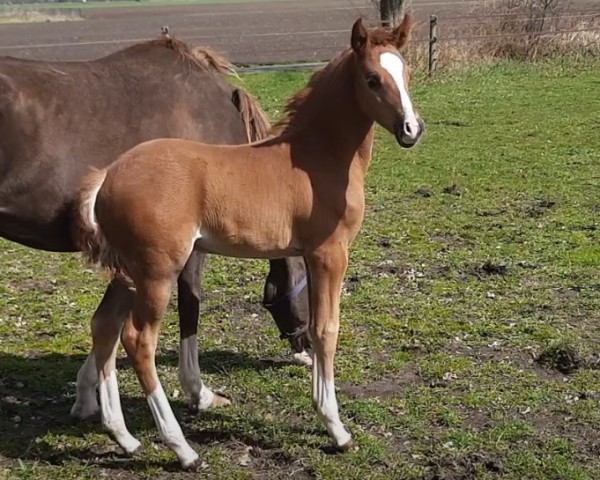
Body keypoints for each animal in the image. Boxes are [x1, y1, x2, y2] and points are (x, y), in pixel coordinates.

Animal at [0, 33, 310, 418]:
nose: (306, 348)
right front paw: (199, 392)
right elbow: (189, 309)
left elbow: (109, 323)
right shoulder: (184, 248)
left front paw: (86, 393)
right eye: (305, 276)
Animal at [75, 15, 422, 468]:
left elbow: (316, 328)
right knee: (138, 341)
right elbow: (327, 330)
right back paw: (182, 449)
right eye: (372, 79)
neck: (316, 156)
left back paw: (125, 438)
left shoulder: (311, 256)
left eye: (406, 73)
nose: (412, 130)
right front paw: (337, 429)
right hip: (157, 271)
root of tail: (107, 177)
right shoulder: (330, 254)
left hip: (129, 271)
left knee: (104, 328)